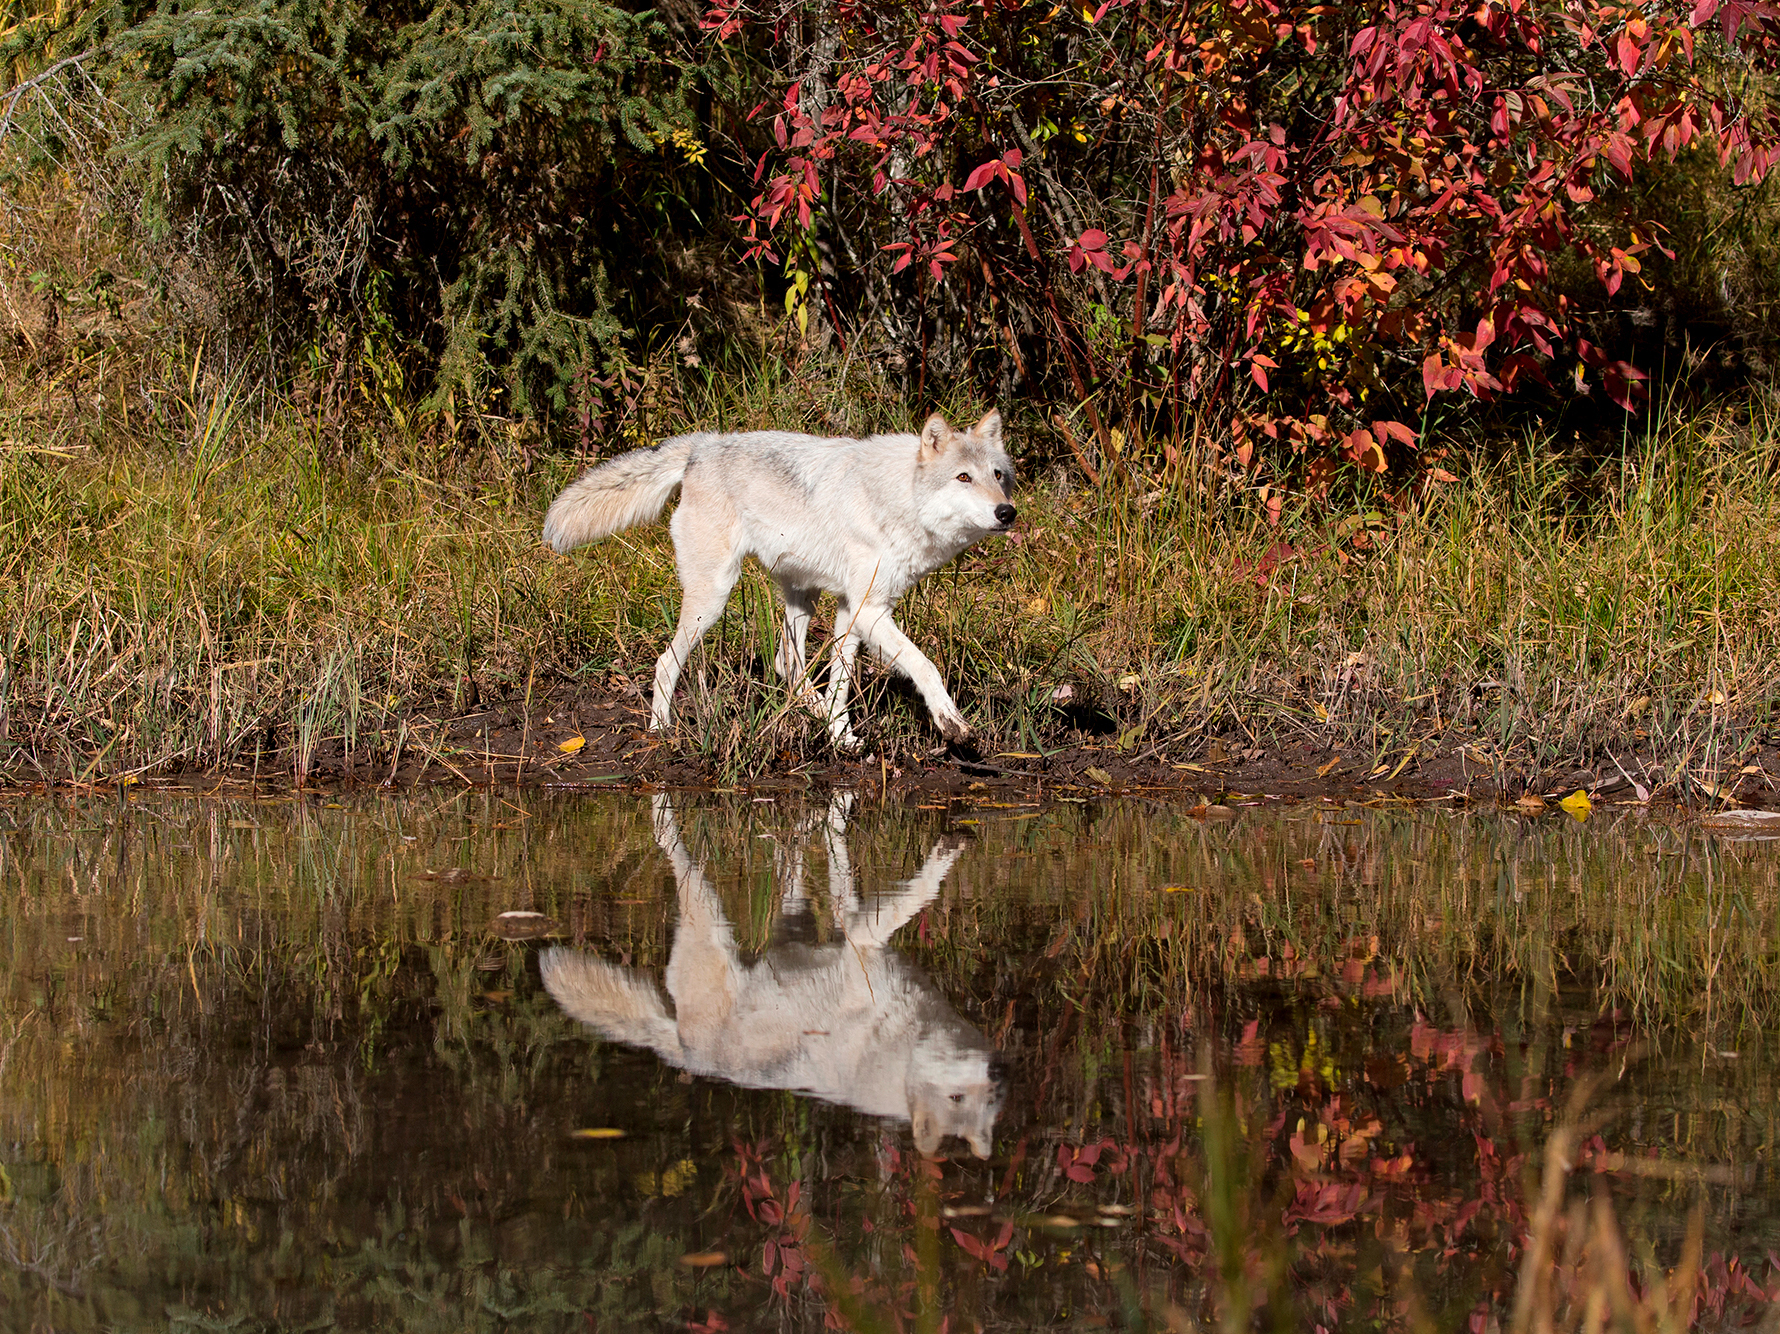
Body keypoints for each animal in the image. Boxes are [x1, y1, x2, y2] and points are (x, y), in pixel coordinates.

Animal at [540, 795, 1005, 1158]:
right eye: (955, 1098)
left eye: (987, 1101)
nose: (996, 1074)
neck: (901, 1050)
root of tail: (684, 1049)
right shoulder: (862, 942)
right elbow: (920, 893)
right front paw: (948, 852)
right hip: (707, 911)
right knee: (671, 845)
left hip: (791, 929)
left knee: (791, 868)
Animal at [542, 411, 1016, 748]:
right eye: (963, 477)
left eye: (997, 476)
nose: (1007, 512)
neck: (898, 499)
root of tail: (702, 445)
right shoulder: (869, 610)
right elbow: (924, 665)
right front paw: (952, 724)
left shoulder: (854, 608)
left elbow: (841, 682)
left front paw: (841, 736)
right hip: (713, 600)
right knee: (667, 661)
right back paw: (661, 729)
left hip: (802, 597)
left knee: (786, 664)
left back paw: (813, 710)